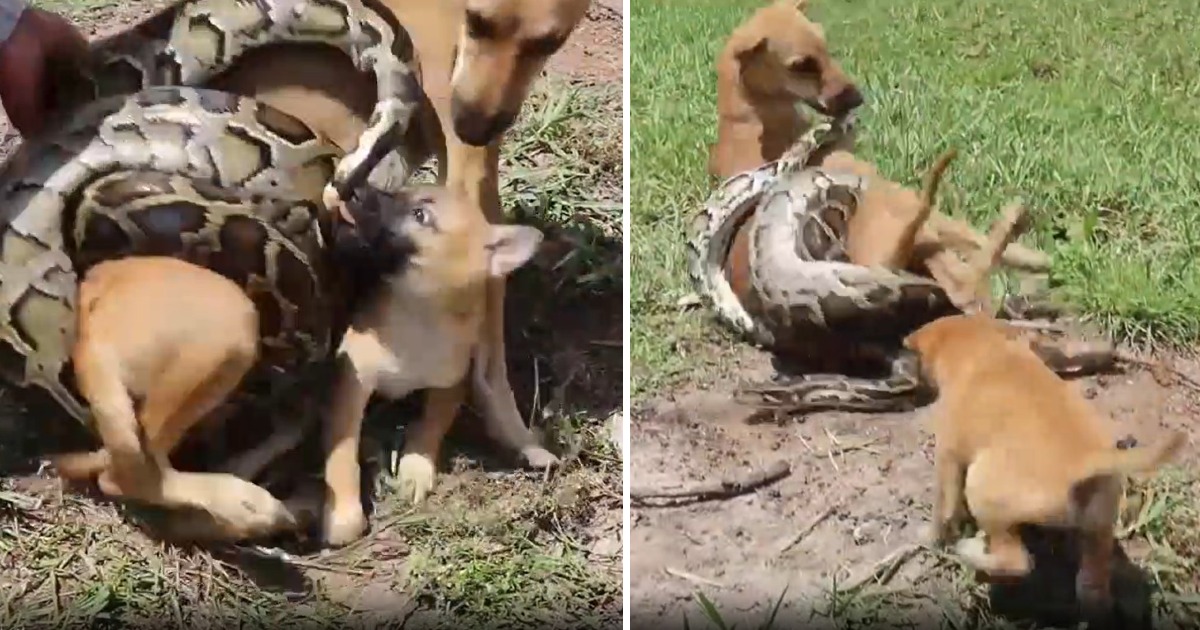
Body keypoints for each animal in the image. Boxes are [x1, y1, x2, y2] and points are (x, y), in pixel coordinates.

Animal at [902, 312, 1185, 619]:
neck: (983, 348)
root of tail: (1087, 461)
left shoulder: (948, 457)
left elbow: (943, 509)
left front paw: (930, 537)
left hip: (983, 491)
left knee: (1017, 561)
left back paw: (972, 552)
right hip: (1098, 529)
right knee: (1092, 587)